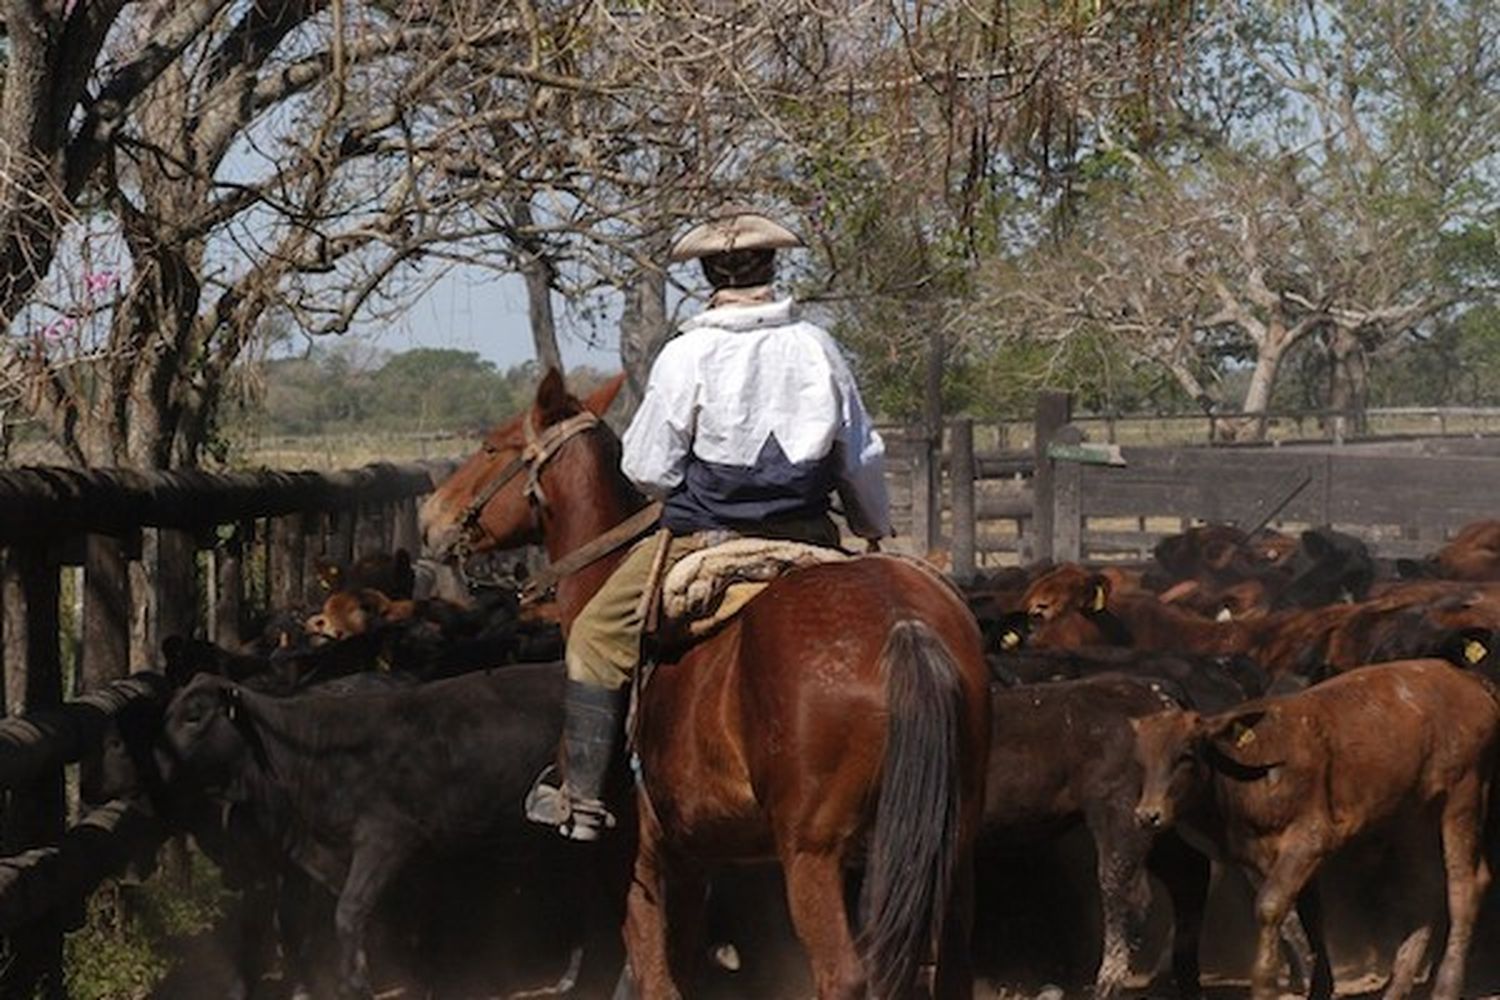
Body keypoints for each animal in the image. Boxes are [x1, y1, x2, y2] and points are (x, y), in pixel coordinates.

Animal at [417, 373, 990, 1000]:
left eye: (491, 447)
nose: (431, 516)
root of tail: (903, 623)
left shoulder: (634, 857)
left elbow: (654, 974)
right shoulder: (694, 855)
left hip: (813, 852)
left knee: (842, 973)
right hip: (947, 845)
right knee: (954, 962)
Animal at [1134, 659, 1500, 1000]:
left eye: (1185, 755)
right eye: (1142, 761)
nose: (1148, 815)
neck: (1253, 768)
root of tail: (1469, 681)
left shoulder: (1310, 838)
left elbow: (1270, 906)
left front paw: (1265, 985)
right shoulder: (1266, 857)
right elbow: (1310, 916)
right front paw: (1320, 986)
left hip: (1463, 796)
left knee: (1464, 885)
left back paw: (1447, 985)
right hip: (1415, 816)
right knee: (1425, 887)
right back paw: (1397, 985)